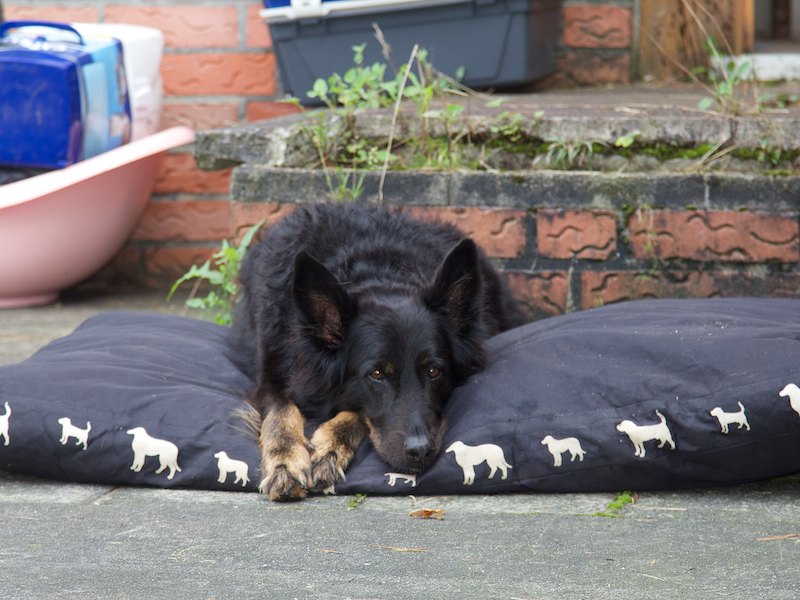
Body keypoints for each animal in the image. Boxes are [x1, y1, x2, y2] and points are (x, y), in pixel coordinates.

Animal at [230, 203, 522, 501]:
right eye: (377, 374)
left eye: (434, 371)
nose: (420, 452)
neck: (378, 274)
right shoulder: (272, 375)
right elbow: (281, 415)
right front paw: (285, 464)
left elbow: (356, 412)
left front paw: (330, 448)